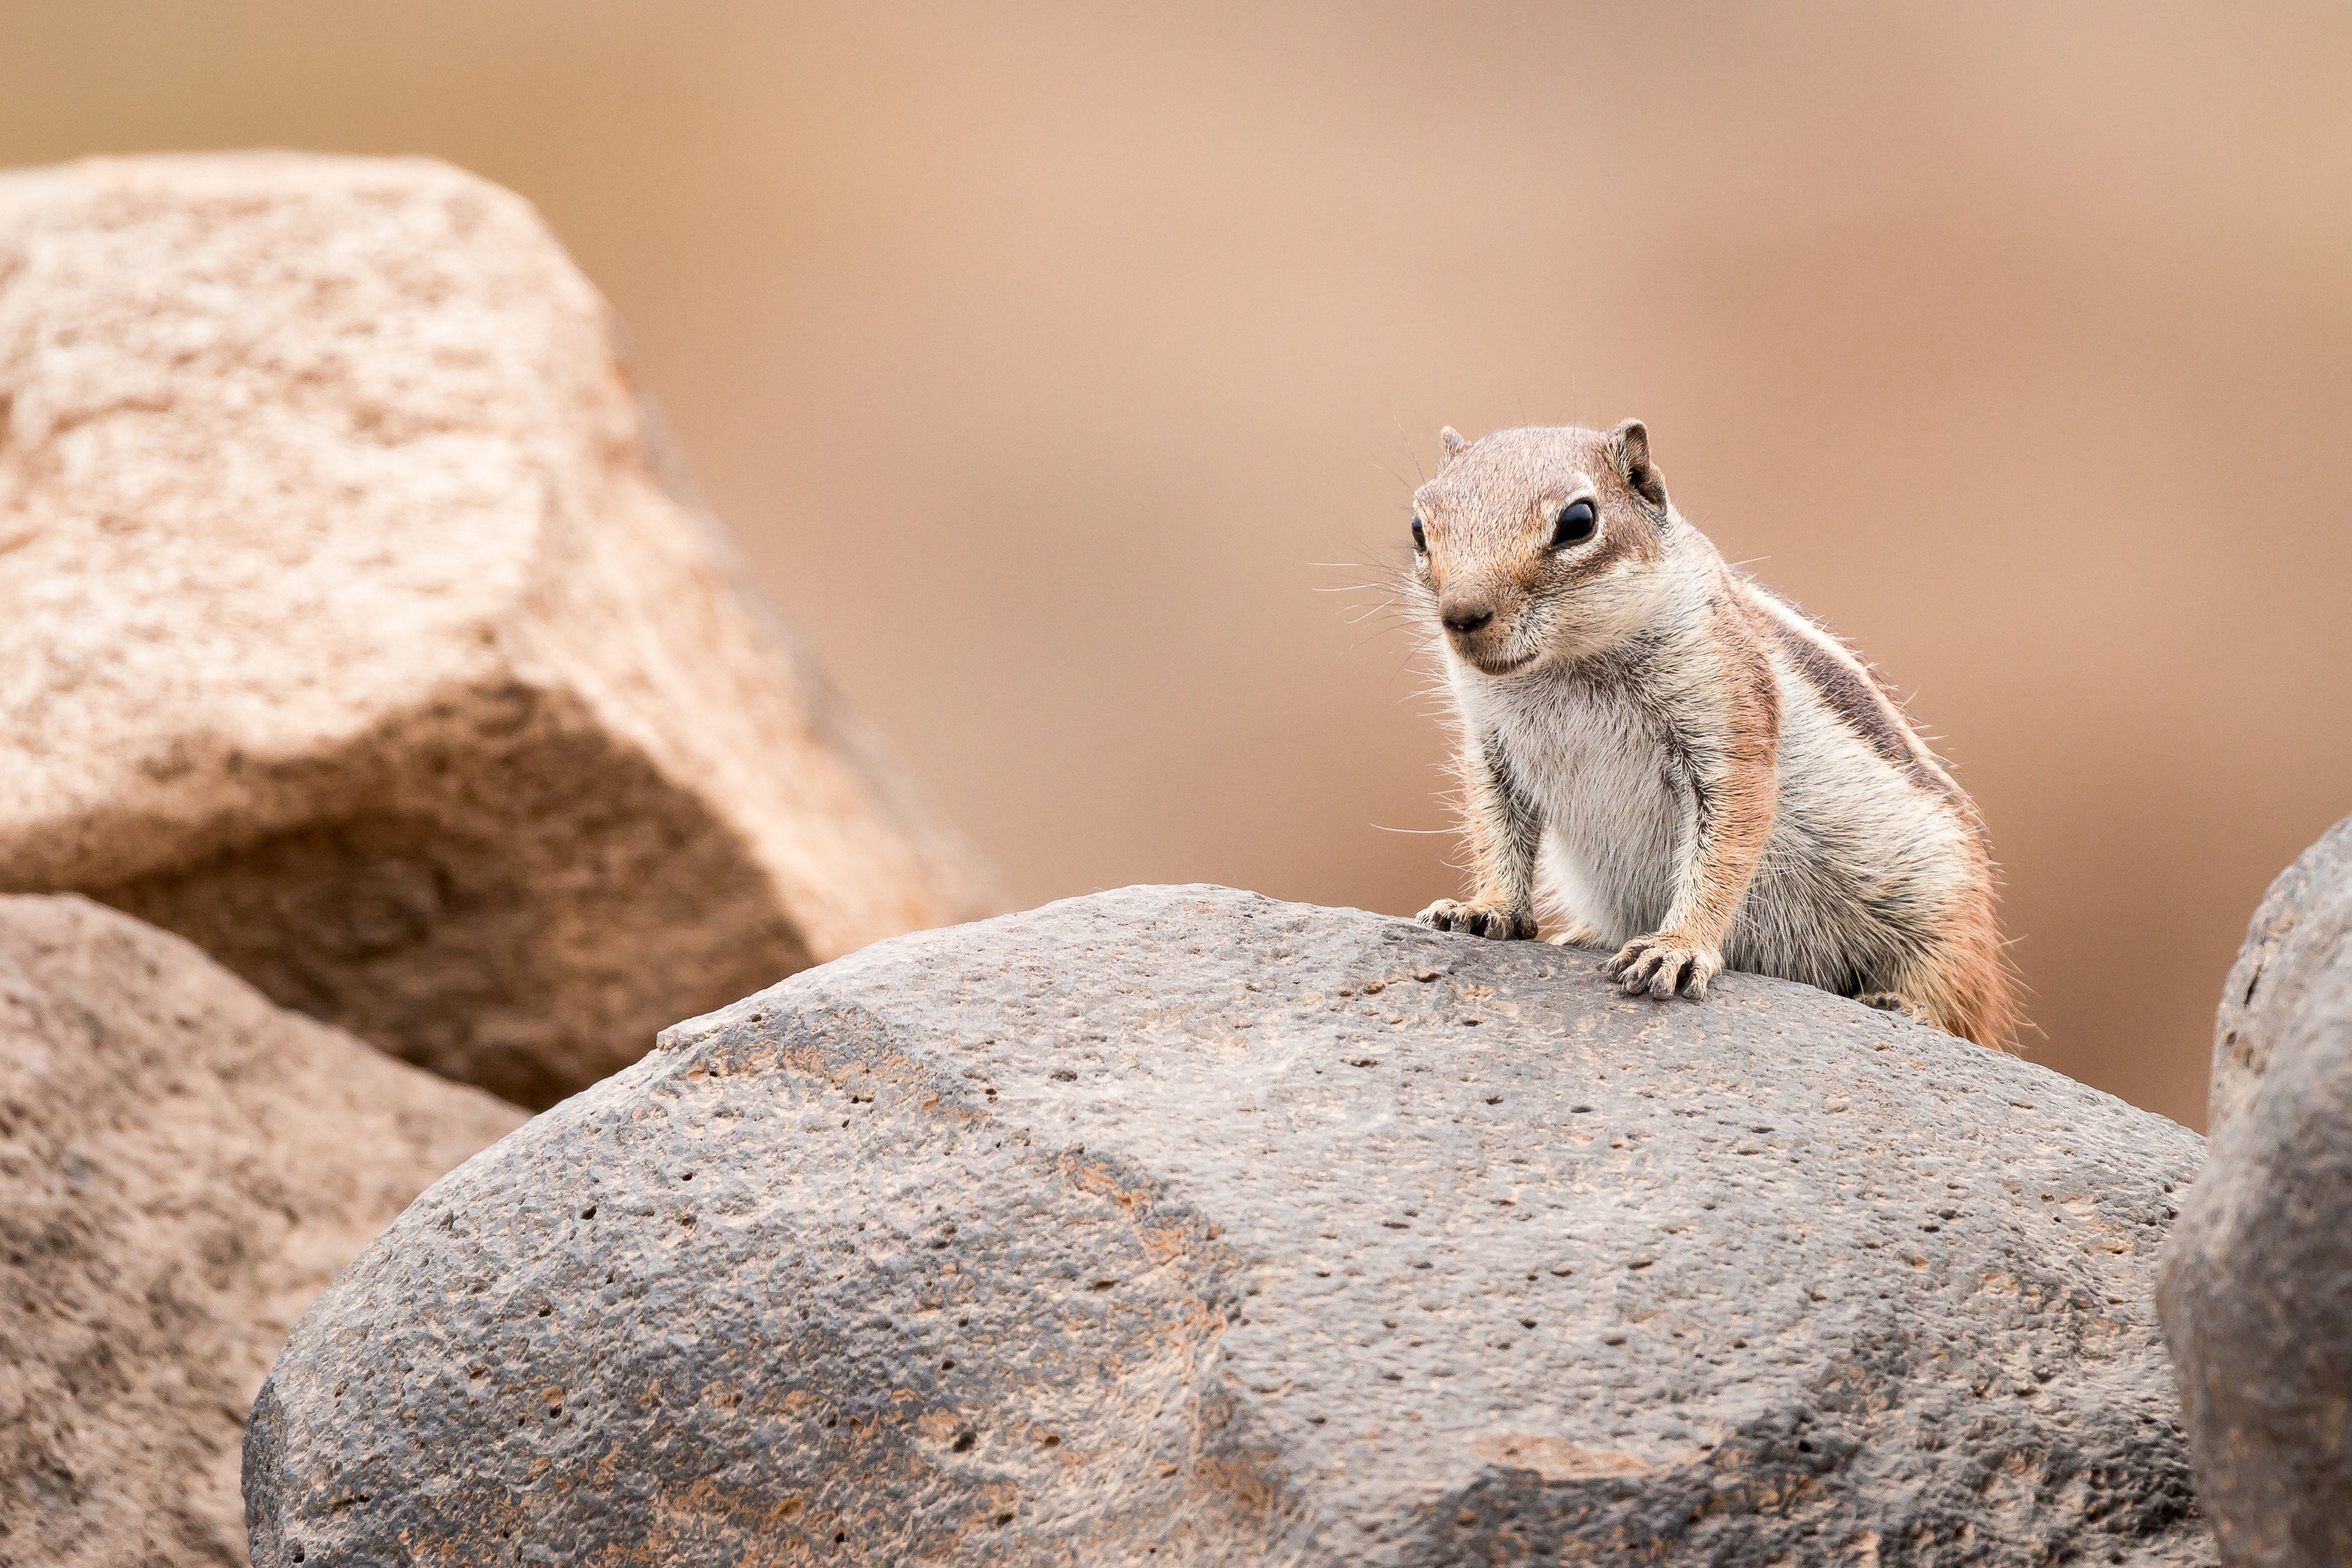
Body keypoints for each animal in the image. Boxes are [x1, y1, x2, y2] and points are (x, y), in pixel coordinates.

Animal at [1408, 421, 2016, 1048]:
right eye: (1418, 527)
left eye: (1579, 520)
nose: (1461, 613)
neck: (1569, 665)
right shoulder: (1490, 748)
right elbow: (1494, 827)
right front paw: (1484, 907)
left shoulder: (1728, 725)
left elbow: (1724, 852)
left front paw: (1675, 948)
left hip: (1946, 911)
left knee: (1954, 996)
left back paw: (1902, 1004)